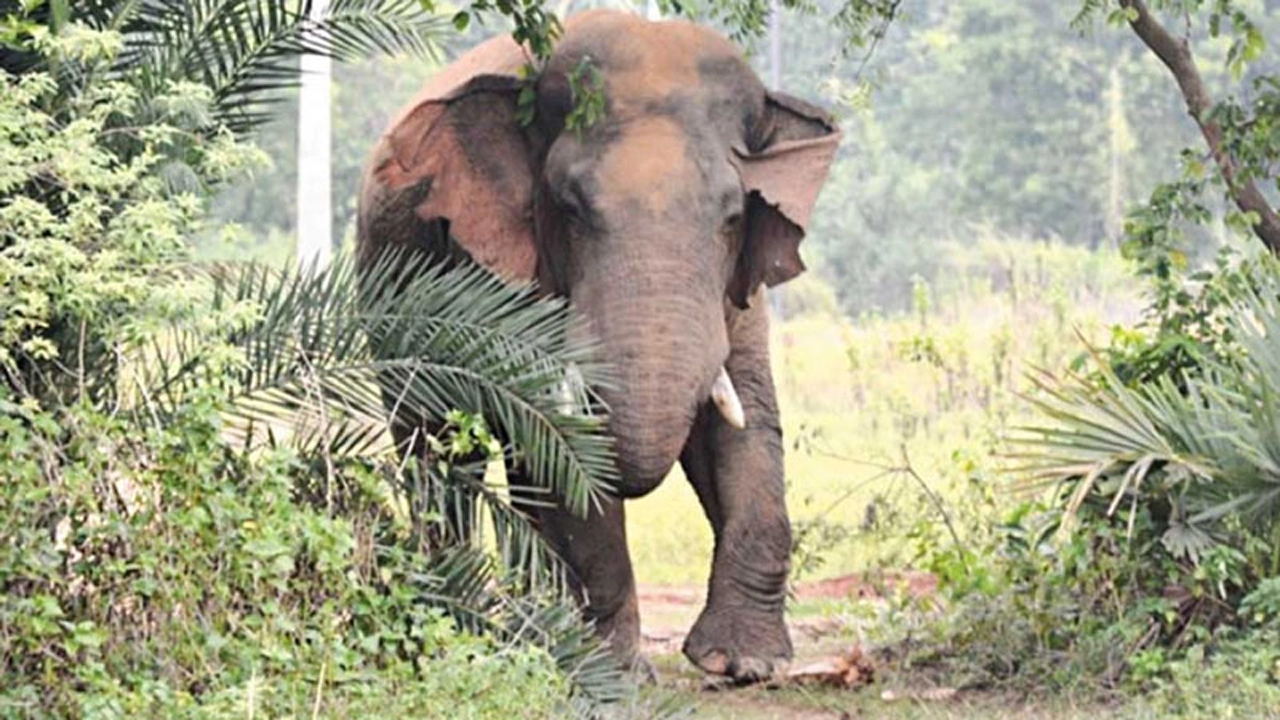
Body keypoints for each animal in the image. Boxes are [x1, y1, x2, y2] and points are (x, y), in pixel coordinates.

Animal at [358, 7, 839, 676]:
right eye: (570, 208)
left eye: (734, 216)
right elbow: (556, 438)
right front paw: (611, 670)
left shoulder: (737, 297)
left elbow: (745, 418)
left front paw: (740, 662)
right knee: (438, 446)